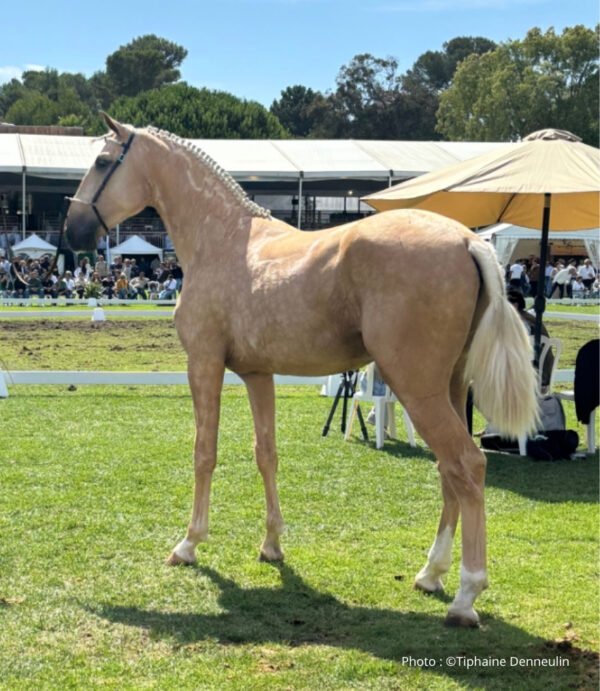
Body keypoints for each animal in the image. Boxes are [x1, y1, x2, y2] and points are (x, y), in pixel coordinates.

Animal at [64, 113, 537, 627]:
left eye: (103, 161)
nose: (72, 232)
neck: (222, 238)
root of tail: (469, 241)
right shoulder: (257, 374)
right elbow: (265, 453)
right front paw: (272, 544)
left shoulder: (204, 364)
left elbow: (203, 452)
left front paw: (189, 543)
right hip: (448, 387)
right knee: (449, 470)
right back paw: (430, 573)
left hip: (418, 389)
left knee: (467, 465)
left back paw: (466, 595)